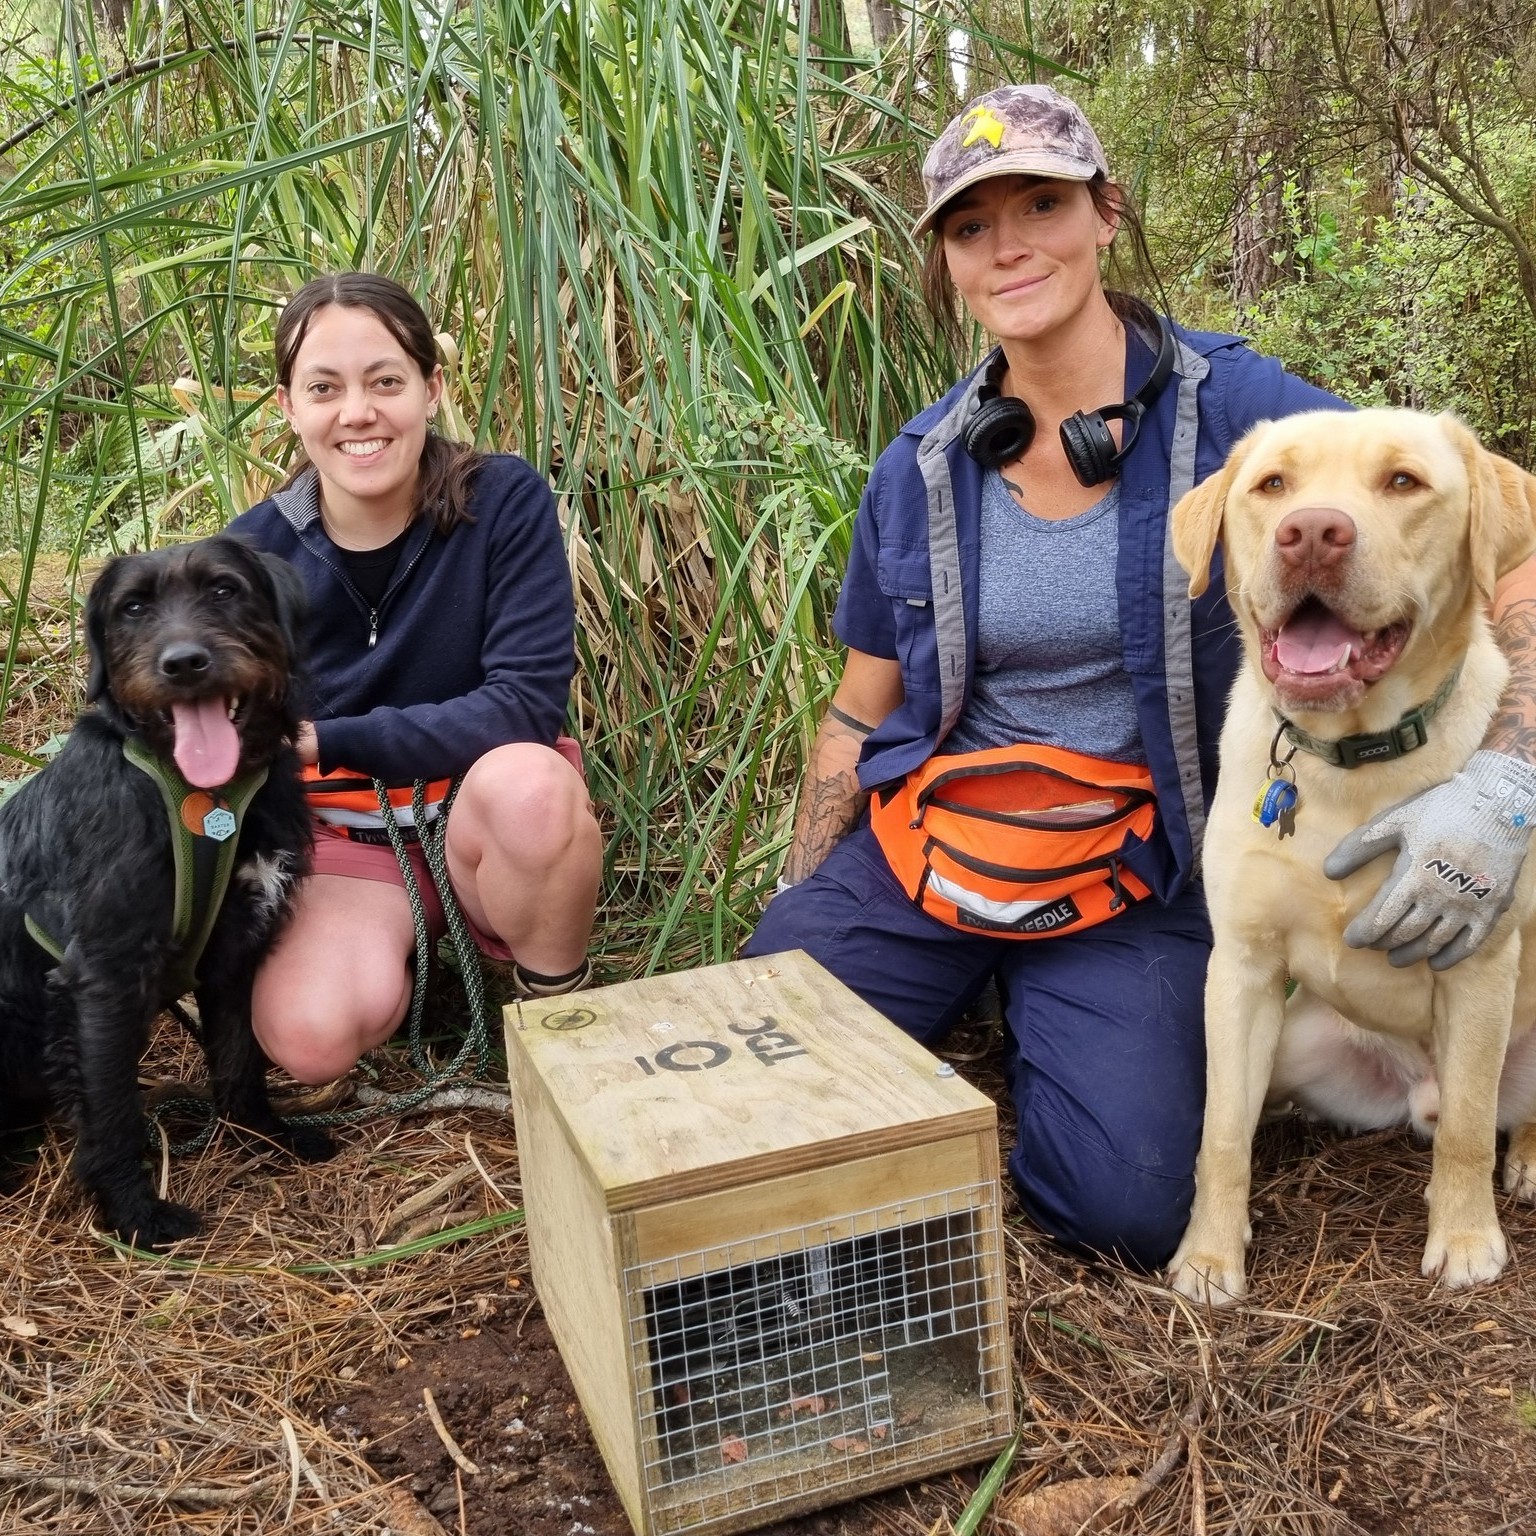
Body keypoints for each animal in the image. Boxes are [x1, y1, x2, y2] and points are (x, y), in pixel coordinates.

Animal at [0, 534, 334, 1241]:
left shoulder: (235, 951)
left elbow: (240, 1057)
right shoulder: (103, 977)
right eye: (132, 608)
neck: (203, 792)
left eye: (224, 590)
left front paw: (264, 1137)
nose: (184, 664)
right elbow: (112, 1110)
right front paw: (135, 1215)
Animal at [1161, 402, 1536, 1302]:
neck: (1350, 760)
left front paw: (1465, 1240)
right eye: (1272, 485)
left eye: (1403, 481)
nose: (1311, 533)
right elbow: (1220, 1132)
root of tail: (1414, 1095)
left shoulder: (1478, 965)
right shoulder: (1243, 966)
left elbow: (1469, 1127)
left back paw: (1526, 1158)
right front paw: (1211, 1256)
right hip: (1302, 1041)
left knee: (1487, 1115)